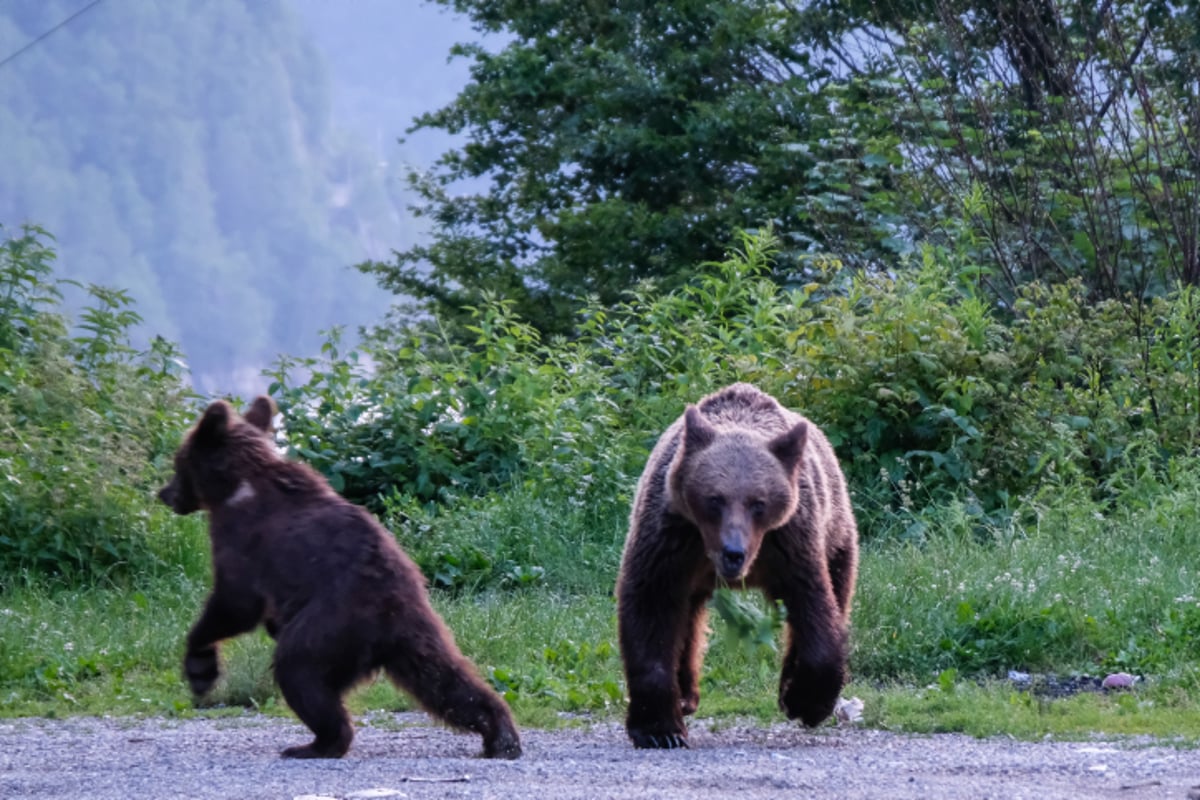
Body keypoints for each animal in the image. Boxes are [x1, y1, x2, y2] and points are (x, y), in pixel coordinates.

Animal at [158, 398, 520, 762]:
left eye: (177, 462)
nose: (164, 493)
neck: (236, 485)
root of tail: (389, 618)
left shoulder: (241, 537)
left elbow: (235, 602)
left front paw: (200, 669)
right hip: (416, 636)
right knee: (446, 681)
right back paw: (500, 736)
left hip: (332, 624)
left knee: (299, 671)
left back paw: (316, 743)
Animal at [614, 383, 859, 748]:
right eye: (714, 499)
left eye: (759, 503)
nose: (734, 553)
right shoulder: (670, 540)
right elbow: (650, 607)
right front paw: (660, 730)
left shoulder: (790, 545)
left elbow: (813, 608)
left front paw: (805, 702)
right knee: (686, 617)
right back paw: (685, 696)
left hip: (836, 532)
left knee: (837, 589)